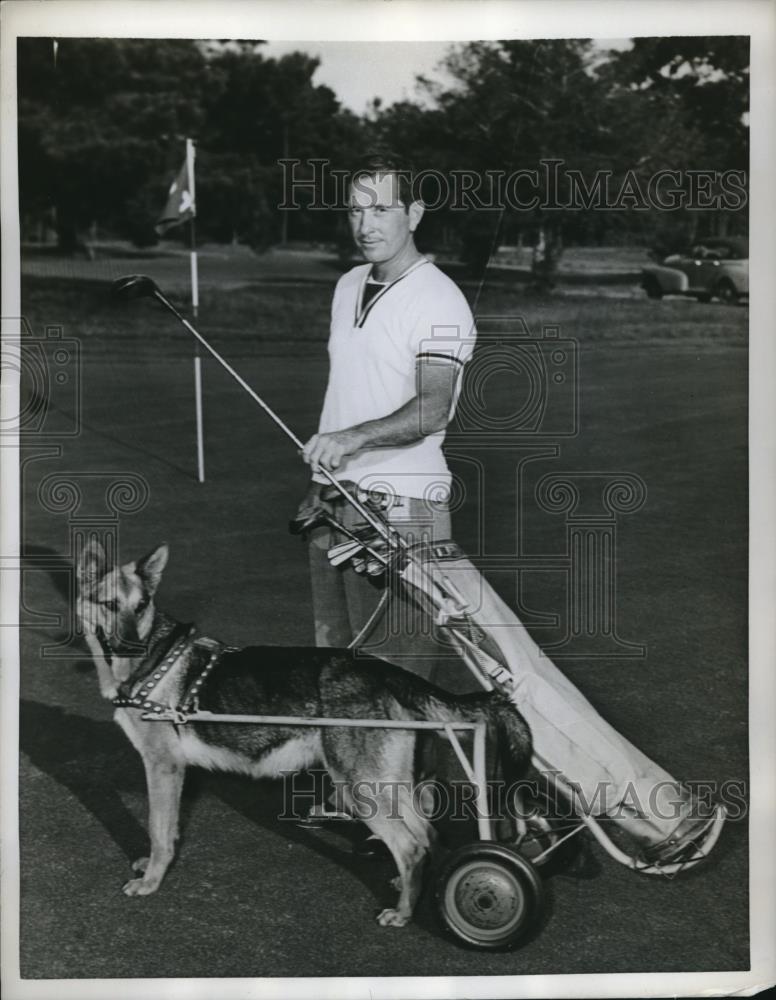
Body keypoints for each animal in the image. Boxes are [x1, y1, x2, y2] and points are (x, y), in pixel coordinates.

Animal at [76, 544, 532, 924]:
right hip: (387, 785)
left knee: (409, 845)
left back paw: (403, 913)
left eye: (141, 605)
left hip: (359, 786)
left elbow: (158, 830)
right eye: (110, 605)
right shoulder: (173, 774)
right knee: (427, 836)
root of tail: (385, 671)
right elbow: (168, 829)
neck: (152, 660)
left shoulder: (163, 768)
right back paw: (416, 889)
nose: (131, 647)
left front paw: (152, 881)